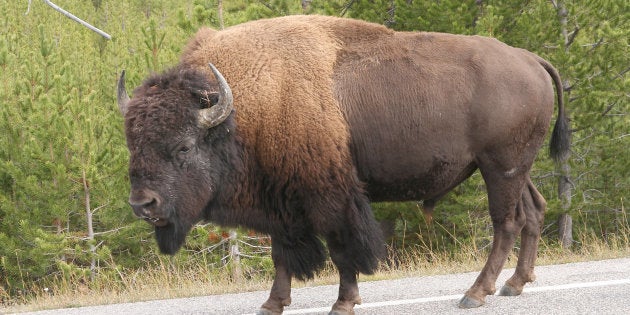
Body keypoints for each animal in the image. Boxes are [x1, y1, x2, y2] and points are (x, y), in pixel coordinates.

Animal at [116, 14, 572, 314]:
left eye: (183, 147)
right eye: (132, 143)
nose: (143, 204)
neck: (252, 104)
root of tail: (529, 58)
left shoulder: (330, 196)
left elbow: (342, 249)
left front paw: (343, 303)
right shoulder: (280, 202)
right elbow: (282, 254)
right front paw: (272, 304)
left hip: (501, 167)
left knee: (505, 223)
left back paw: (475, 293)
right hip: (512, 168)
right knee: (534, 210)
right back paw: (515, 284)